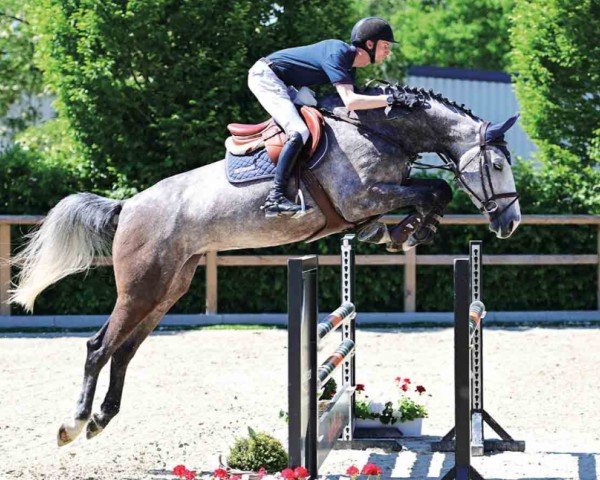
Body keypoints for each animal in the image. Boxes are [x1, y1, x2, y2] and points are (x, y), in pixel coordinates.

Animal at [8, 82, 520, 446]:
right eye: (496, 166)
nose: (510, 222)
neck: (381, 131)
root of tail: (128, 205)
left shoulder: (374, 200)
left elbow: (430, 194)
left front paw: (403, 231)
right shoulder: (362, 197)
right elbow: (437, 189)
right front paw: (407, 230)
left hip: (167, 288)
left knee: (125, 350)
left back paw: (101, 419)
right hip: (141, 287)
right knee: (99, 347)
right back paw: (74, 424)